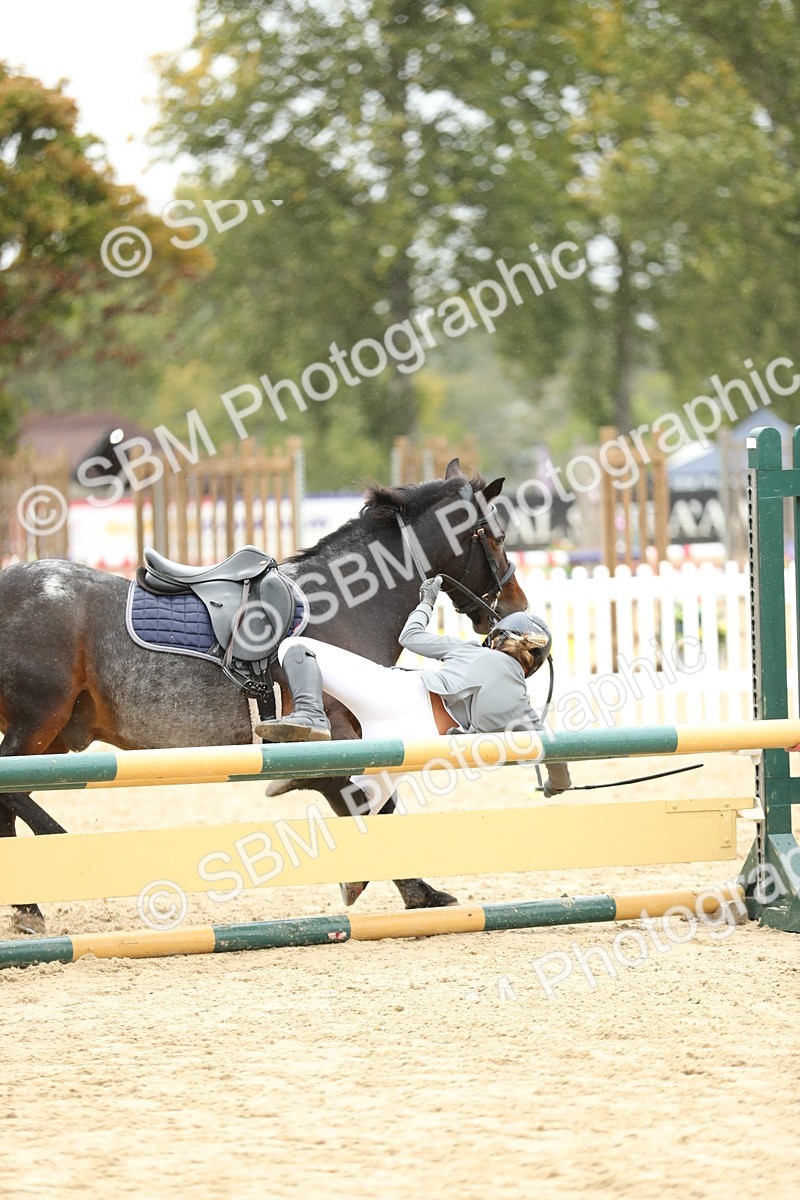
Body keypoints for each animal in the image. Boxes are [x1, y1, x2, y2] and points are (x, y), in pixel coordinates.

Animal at [0, 460, 527, 932]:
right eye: (498, 537)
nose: (515, 606)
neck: (349, 606)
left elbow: (369, 804)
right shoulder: (333, 736)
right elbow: (373, 807)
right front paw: (417, 891)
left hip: (56, 736)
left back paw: (27, 903)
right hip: (38, 723)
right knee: (11, 792)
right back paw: (47, 863)